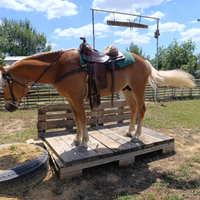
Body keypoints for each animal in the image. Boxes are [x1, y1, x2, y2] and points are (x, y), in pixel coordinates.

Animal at [0, 48, 195, 152]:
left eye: (4, 85)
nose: (8, 107)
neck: (59, 68)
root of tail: (144, 61)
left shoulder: (77, 98)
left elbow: (82, 118)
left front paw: (84, 142)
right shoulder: (71, 100)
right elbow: (77, 119)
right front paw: (77, 140)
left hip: (138, 89)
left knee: (141, 110)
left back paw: (136, 136)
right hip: (127, 90)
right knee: (133, 110)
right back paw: (129, 132)